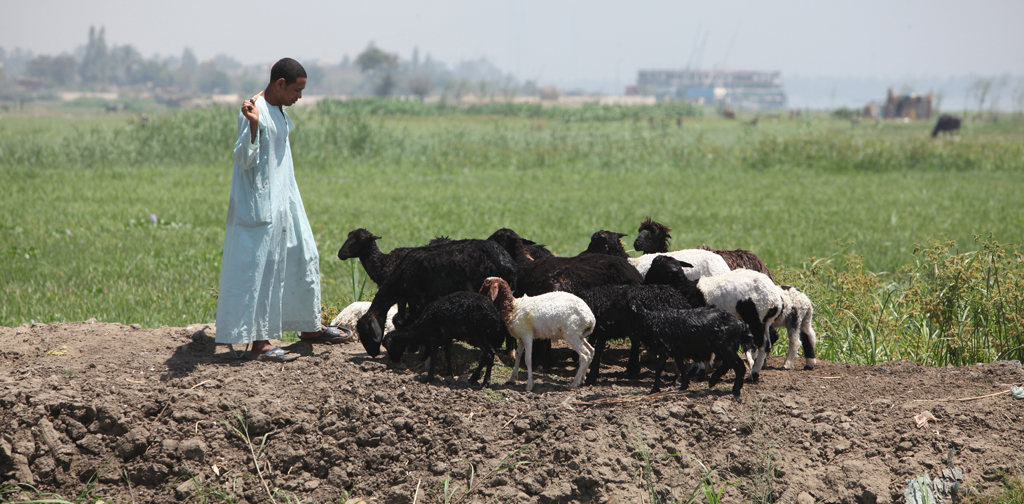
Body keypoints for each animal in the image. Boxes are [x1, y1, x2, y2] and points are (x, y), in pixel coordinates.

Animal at [360, 238, 520, 356]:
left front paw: (416, 347)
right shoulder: (413, 300)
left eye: (365, 332)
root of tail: (510, 265)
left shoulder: (420, 299)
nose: (373, 354)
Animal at [622, 305, 753, 395]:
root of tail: (742, 325)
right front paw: (684, 385)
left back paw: (735, 390)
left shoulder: (665, 347)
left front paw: (654, 389)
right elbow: (680, 365)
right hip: (724, 347)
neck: (652, 322)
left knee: (739, 366)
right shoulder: (676, 349)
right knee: (728, 363)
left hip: (726, 346)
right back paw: (714, 380)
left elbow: (659, 367)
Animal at [643, 256, 778, 381]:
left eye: (655, 267)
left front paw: (698, 371)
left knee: (763, 345)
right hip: (765, 322)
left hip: (756, 318)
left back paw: (753, 375)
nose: (644, 282)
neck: (685, 288)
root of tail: (774, 298)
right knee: (768, 343)